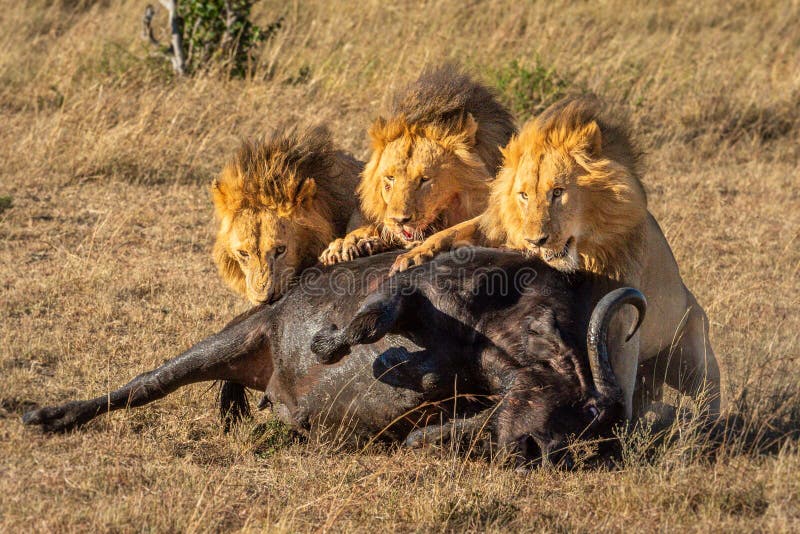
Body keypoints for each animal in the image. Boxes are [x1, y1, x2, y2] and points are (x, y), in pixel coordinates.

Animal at [394, 96, 724, 422]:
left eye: (558, 192)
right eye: (524, 195)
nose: (536, 241)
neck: (584, 253)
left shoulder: (621, 322)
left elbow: (614, 363)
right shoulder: (498, 228)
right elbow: (458, 230)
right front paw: (412, 257)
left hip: (692, 355)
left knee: (707, 394)